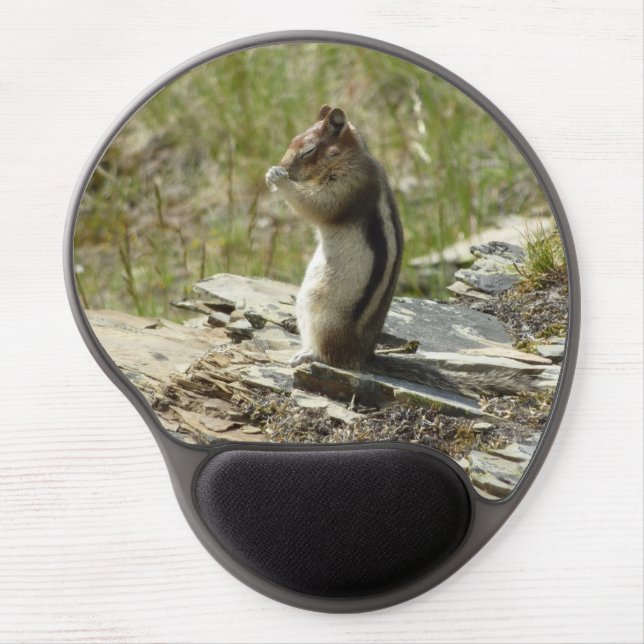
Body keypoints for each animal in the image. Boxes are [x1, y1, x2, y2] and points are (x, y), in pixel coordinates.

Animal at [266, 105, 534, 397]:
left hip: (318, 311)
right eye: (293, 140)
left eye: (308, 151)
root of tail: (362, 356)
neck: (351, 158)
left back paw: (306, 355)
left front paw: (279, 178)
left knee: (329, 356)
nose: (284, 167)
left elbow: (316, 205)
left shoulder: (348, 185)